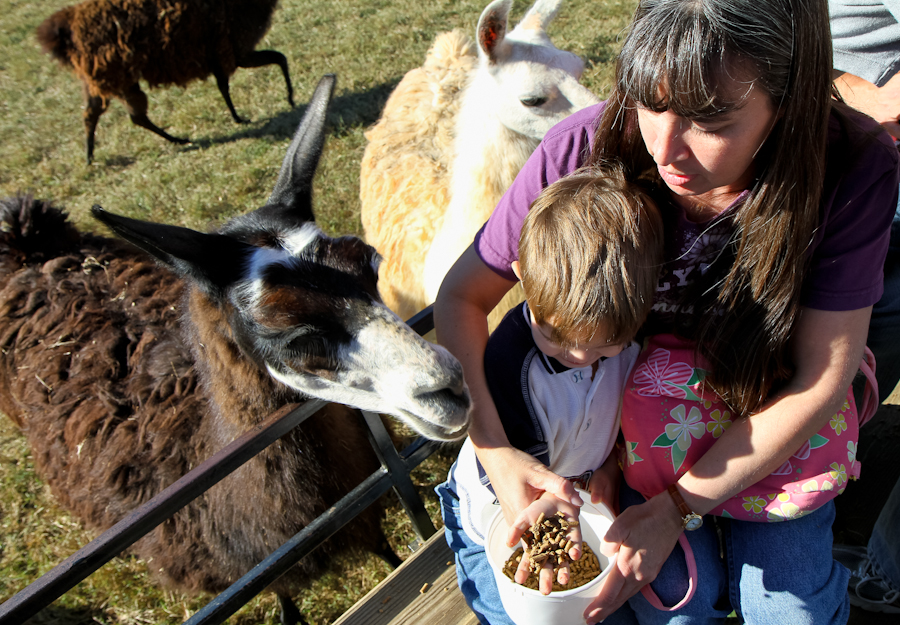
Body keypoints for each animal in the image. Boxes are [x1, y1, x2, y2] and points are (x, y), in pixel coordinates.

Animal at [0, 75, 470, 625]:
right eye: (290, 334)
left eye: (371, 265)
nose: (450, 390)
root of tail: (27, 243)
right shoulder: (267, 570)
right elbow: (286, 598)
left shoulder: (363, 515)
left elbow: (387, 553)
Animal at [35, 0, 295, 164]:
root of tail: (65, 30)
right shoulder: (232, 48)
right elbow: (279, 58)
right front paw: (286, 101)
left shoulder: (220, 52)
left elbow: (224, 85)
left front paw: (239, 117)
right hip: (113, 74)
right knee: (129, 115)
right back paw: (178, 139)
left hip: (99, 78)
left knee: (95, 114)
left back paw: (90, 157)